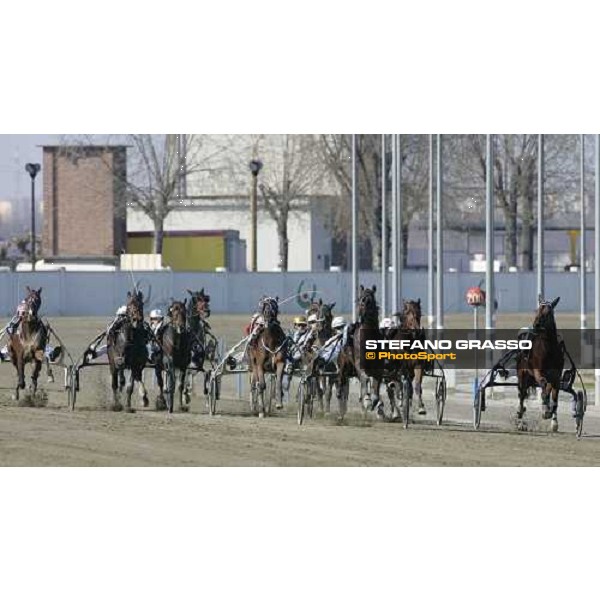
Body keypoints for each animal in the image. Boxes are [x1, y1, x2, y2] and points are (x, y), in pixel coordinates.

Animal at [516, 296, 564, 432]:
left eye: (548, 313)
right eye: (537, 310)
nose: (536, 325)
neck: (549, 350)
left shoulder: (556, 377)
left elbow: (554, 396)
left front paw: (554, 422)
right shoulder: (538, 371)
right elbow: (543, 384)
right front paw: (545, 410)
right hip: (523, 374)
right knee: (522, 394)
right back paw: (520, 419)